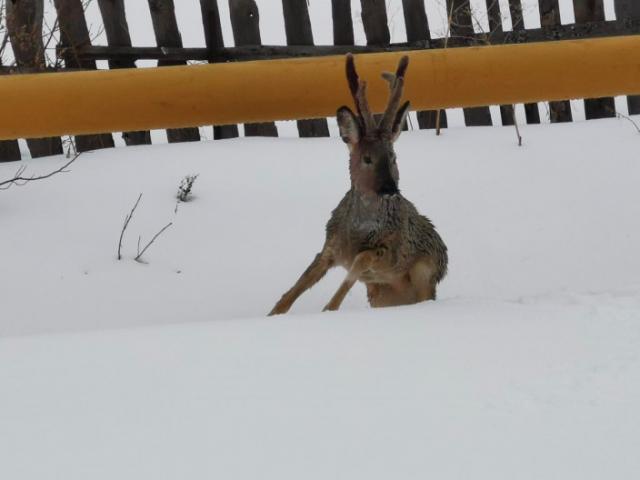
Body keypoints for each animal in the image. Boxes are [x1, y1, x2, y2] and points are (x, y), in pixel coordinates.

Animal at [268, 54, 448, 316]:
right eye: (367, 158)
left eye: (393, 157)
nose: (390, 189)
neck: (359, 230)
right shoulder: (330, 245)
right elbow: (299, 284)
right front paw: (271, 314)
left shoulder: (391, 252)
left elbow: (360, 262)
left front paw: (328, 308)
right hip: (380, 295)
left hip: (426, 275)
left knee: (425, 296)